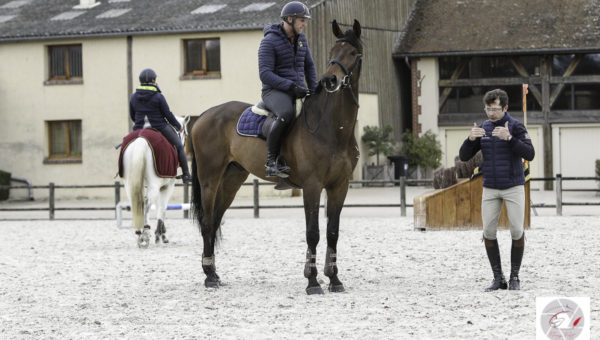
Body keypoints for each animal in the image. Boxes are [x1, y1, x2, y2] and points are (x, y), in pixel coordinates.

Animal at [120, 115, 189, 248]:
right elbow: (162, 209)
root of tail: (141, 139)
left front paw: (161, 234)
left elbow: (158, 207)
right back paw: (145, 233)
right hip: (154, 184)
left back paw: (139, 232)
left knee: (136, 203)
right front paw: (161, 235)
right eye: (186, 134)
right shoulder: (167, 187)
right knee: (146, 203)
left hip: (129, 183)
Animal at [190, 19, 364, 294]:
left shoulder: (340, 186)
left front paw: (334, 279)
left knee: (216, 221)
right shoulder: (312, 186)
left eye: (353, 53)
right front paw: (312, 281)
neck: (332, 129)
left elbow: (332, 232)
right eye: (333, 51)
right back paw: (208, 277)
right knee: (207, 222)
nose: (330, 80)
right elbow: (312, 232)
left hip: (232, 180)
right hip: (210, 179)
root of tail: (204, 115)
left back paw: (214, 274)